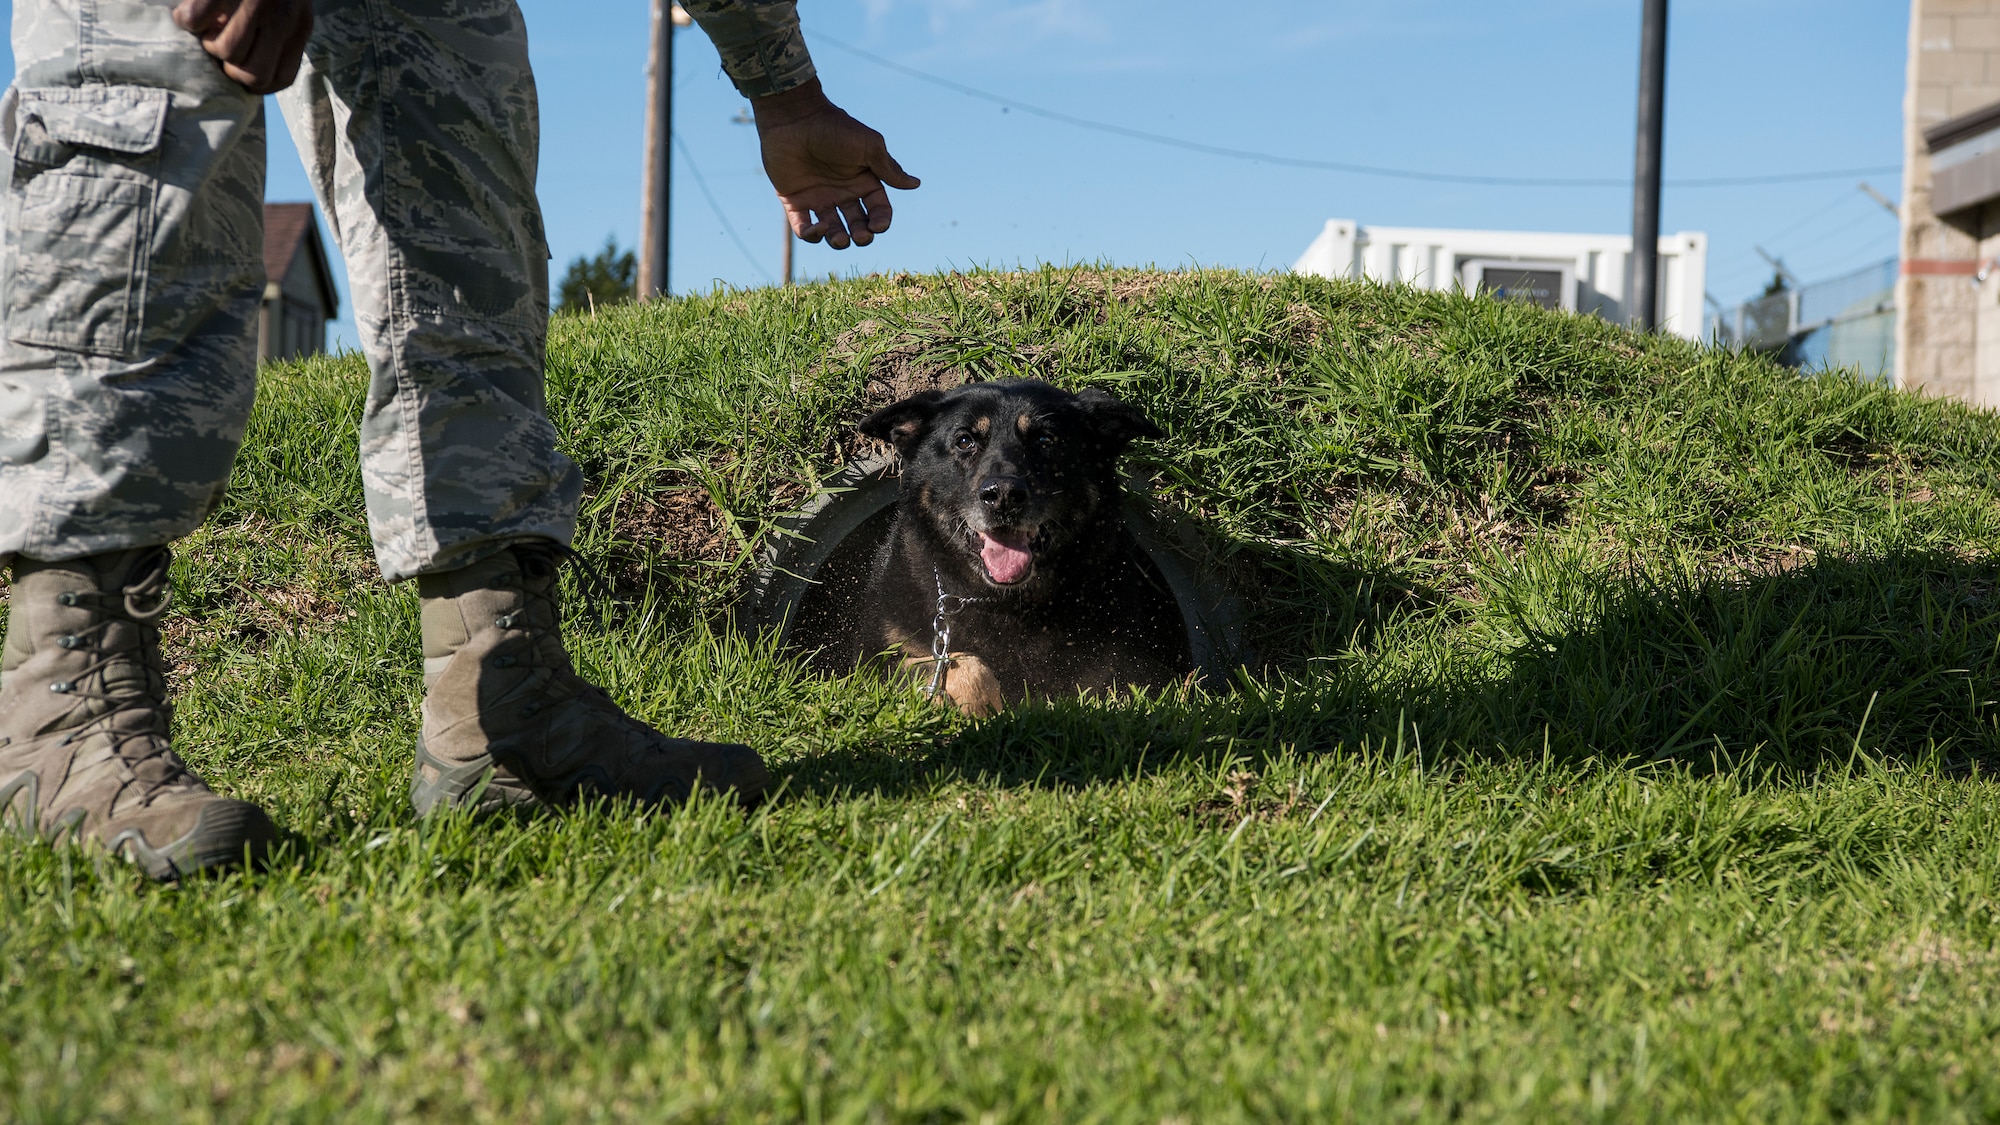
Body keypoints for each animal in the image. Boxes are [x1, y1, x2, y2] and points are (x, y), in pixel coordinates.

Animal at [836, 376, 1192, 708]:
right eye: (964, 441)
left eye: (1046, 439)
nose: (1004, 495)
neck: (1002, 602)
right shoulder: (874, 663)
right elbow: (959, 663)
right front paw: (980, 708)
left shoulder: (1126, 664)